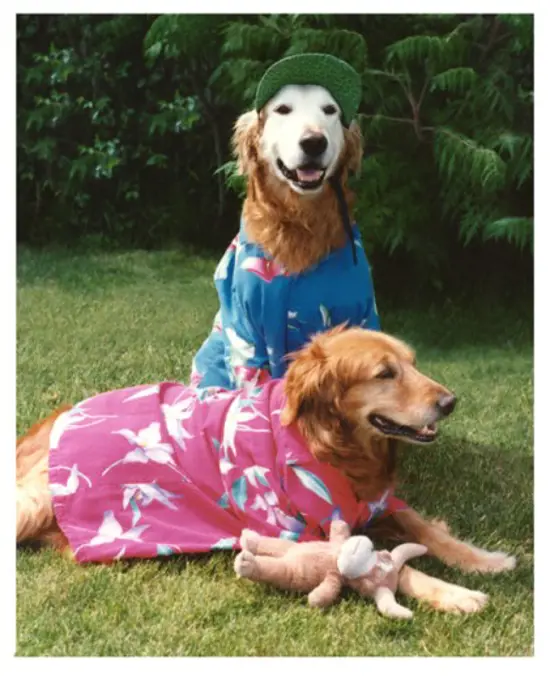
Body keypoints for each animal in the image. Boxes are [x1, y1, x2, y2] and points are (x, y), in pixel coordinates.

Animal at [17, 326, 516, 612]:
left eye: (412, 363)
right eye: (384, 373)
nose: (451, 402)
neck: (329, 443)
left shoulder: (377, 500)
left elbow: (425, 528)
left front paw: (485, 560)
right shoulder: (305, 529)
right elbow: (391, 565)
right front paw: (456, 594)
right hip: (35, 501)